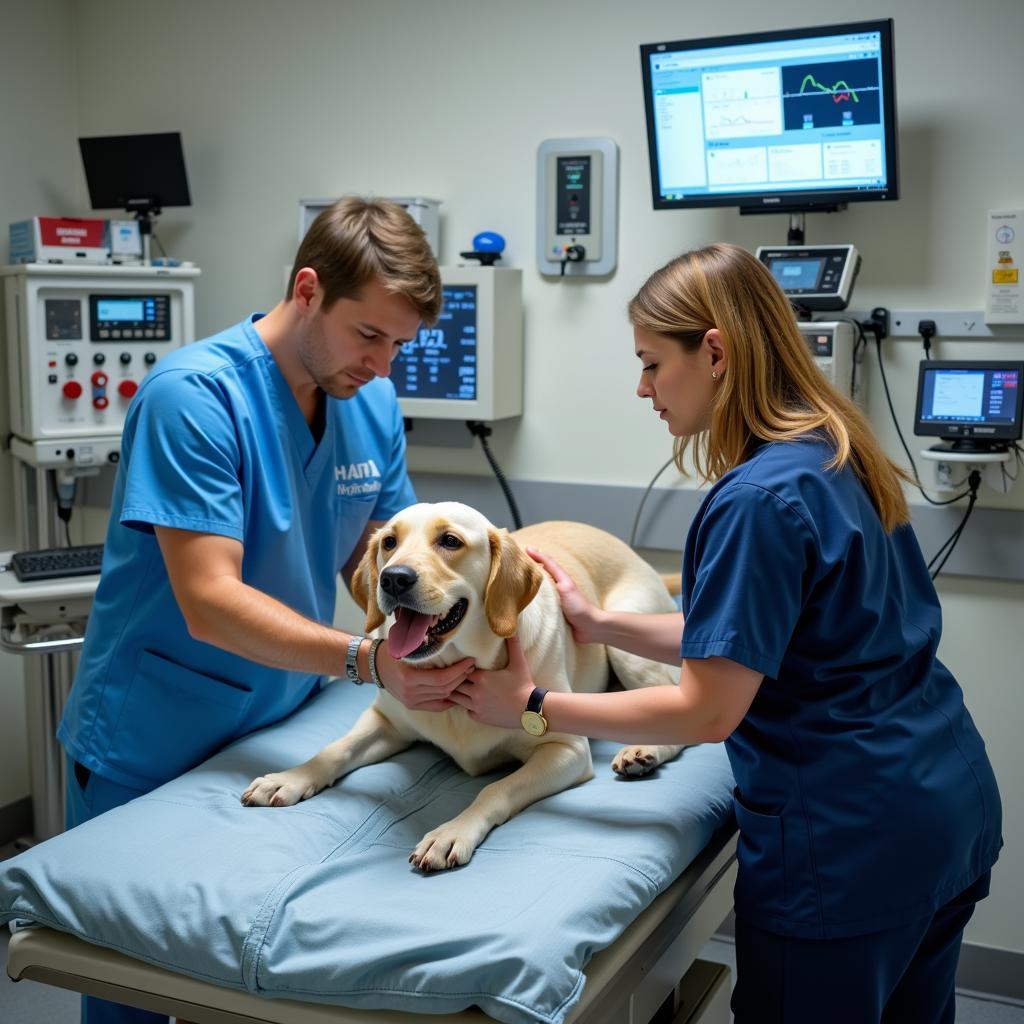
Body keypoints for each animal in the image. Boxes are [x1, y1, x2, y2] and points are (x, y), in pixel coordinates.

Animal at [242, 499, 684, 868]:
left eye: (450, 541)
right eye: (389, 542)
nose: (393, 578)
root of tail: (638, 557)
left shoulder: (567, 750)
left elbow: (494, 790)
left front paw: (452, 832)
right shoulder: (387, 722)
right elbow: (334, 749)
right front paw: (291, 777)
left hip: (624, 641)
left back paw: (642, 751)